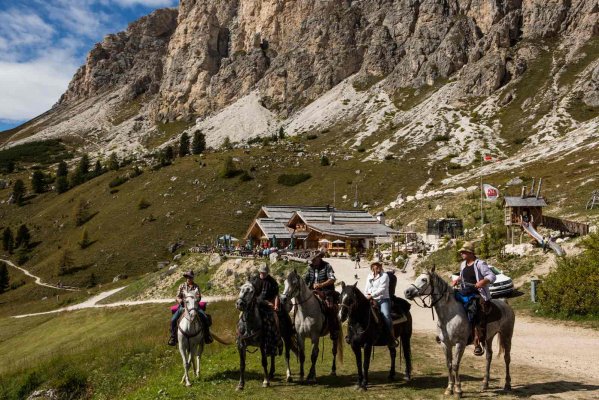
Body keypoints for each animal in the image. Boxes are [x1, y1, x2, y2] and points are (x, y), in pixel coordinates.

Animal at [404, 266, 516, 396]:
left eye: (423, 279)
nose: (407, 292)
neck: (449, 316)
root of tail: (504, 303)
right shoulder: (445, 344)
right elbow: (449, 364)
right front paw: (449, 388)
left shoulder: (460, 344)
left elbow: (455, 365)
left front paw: (458, 389)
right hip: (489, 337)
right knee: (489, 356)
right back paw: (485, 384)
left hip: (507, 335)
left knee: (507, 358)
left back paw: (507, 384)